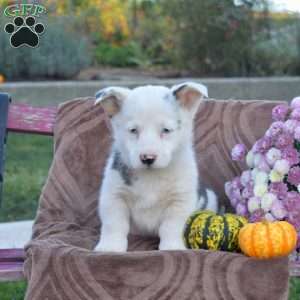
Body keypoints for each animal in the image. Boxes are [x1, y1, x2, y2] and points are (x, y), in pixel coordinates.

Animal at [94, 81, 218, 252]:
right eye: (133, 130)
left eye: (166, 130)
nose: (148, 158)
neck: (151, 176)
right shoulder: (114, 196)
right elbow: (114, 224)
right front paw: (110, 247)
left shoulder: (180, 201)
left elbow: (171, 227)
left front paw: (172, 247)